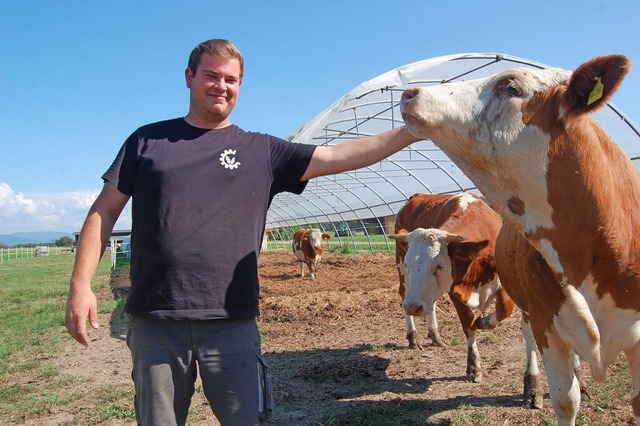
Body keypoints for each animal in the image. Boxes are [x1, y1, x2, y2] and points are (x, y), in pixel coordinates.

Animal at [390, 193, 528, 390]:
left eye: (439, 265)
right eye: (409, 264)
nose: (412, 307)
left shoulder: (504, 281)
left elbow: (504, 308)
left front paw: (484, 321)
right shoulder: (454, 292)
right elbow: (468, 324)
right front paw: (474, 367)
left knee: (430, 304)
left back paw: (435, 336)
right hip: (403, 276)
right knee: (404, 295)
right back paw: (413, 337)